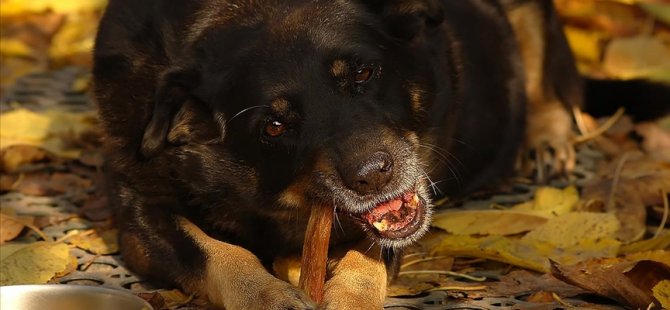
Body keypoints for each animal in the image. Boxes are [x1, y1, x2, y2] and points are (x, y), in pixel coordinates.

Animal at [93, 0, 584, 308]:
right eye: (274, 127)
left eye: (364, 73)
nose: (374, 175)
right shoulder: (138, 212)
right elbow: (216, 253)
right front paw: (269, 296)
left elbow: (366, 260)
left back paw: (546, 138)